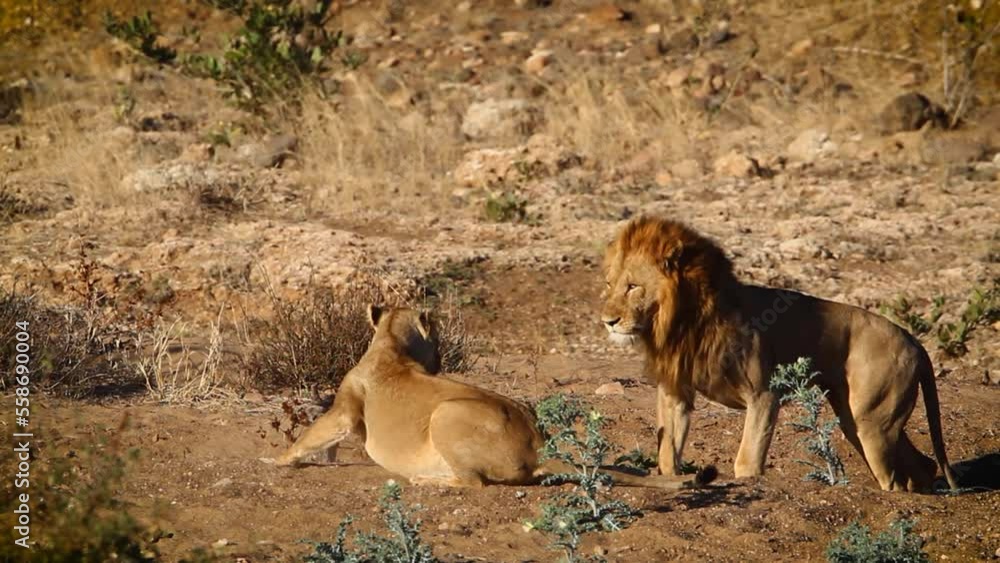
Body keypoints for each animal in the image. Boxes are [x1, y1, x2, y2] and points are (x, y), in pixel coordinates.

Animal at [270, 305, 716, 489]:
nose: (440, 359)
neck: (392, 345)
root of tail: (538, 445)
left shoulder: (345, 409)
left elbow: (313, 434)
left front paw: (277, 460)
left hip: (445, 414)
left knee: (474, 483)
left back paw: (426, 481)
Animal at [600, 215, 958, 492]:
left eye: (633, 286)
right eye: (609, 284)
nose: (607, 321)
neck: (683, 322)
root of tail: (914, 341)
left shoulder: (764, 393)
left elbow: (747, 459)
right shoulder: (675, 391)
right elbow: (667, 454)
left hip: (872, 422)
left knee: (893, 480)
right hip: (861, 419)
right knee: (922, 464)